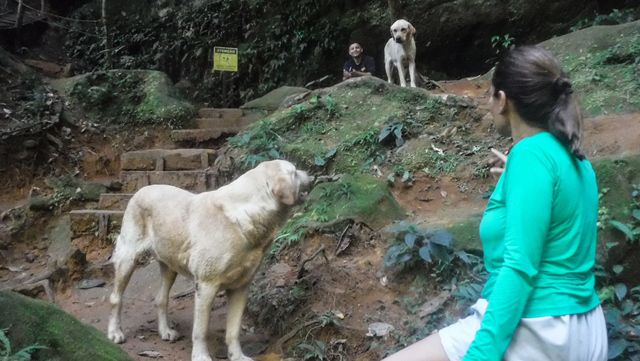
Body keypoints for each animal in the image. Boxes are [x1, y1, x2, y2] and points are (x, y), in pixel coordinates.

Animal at [108, 160, 312, 360]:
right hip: (128, 259)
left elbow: (233, 331)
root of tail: (142, 189)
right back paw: (115, 332)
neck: (245, 216)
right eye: (295, 172)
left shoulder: (241, 288)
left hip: (170, 266)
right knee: (116, 298)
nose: (311, 175)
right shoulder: (206, 286)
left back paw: (165, 331)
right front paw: (201, 356)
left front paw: (237, 356)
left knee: (161, 299)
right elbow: (200, 330)